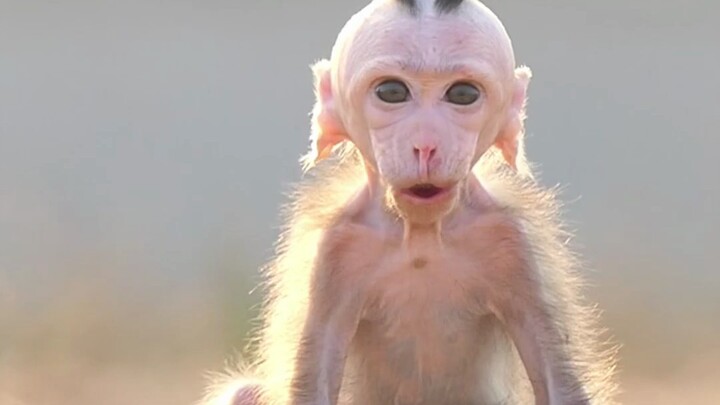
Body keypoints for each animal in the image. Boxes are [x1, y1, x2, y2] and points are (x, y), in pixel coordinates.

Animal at [202, 0, 618, 404]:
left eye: (463, 94)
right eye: (392, 92)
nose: (426, 145)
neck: (421, 232)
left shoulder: (511, 241)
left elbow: (560, 383)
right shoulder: (336, 247)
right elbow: (310, 382)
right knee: (244, 393)